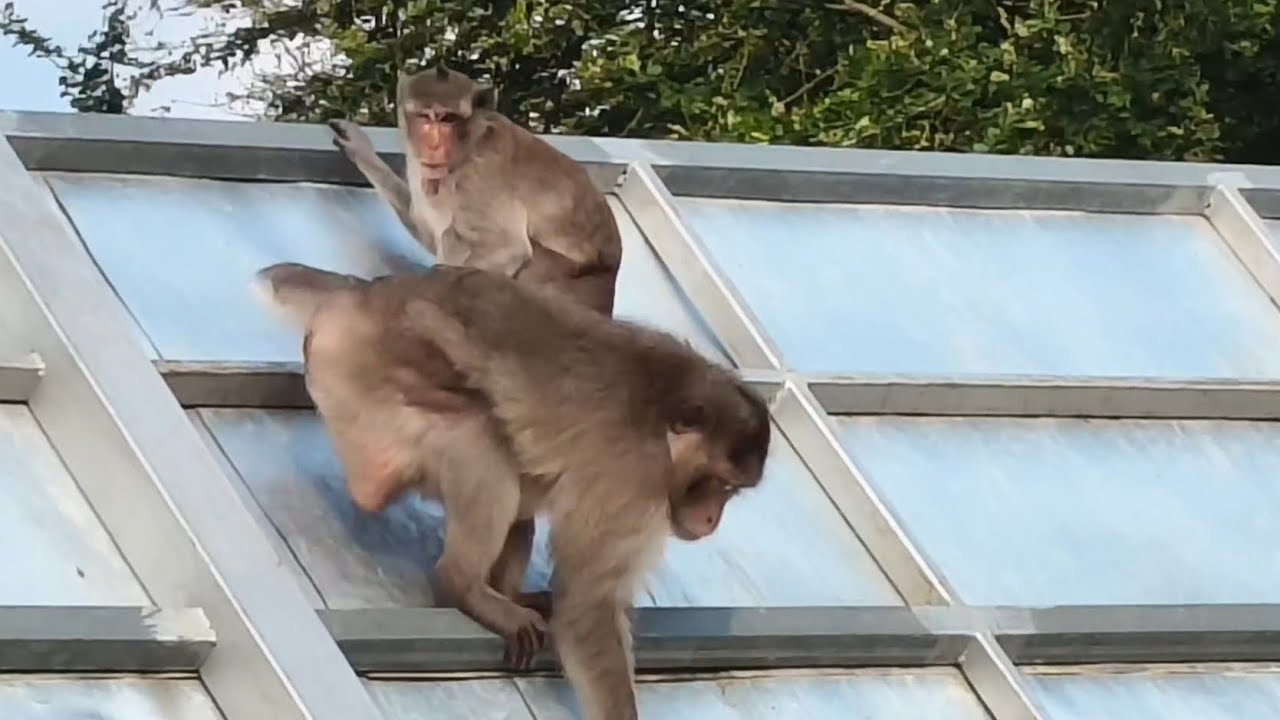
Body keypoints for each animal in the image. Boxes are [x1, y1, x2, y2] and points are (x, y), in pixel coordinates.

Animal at [254, 261, 771, 720]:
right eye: (720, 483)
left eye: (731, 492)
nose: (712, 518)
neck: (664, 426)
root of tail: (359, 293)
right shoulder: (631, 481)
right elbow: (586, 608)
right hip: (358, 385)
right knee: (479, 438)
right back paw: (462, 584)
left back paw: (507, 592)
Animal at [327, 65, 623, 317]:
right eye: (424, 117)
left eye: (448, 119)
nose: (433, 144)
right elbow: (427, 228)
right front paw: (359, 146)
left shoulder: (481, 175)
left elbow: (507, 247)